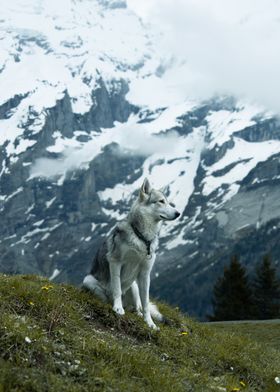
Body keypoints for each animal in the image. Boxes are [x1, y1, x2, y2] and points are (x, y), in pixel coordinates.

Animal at [82, 179, 179, 330]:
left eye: (168, 202)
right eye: (161, 201)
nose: (178, 213)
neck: (141, 238)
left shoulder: (145, 273)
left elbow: (145, 304)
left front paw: (150, 323)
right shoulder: (115, 261)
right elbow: (116, 287)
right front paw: (117, 308)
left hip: (134, 287)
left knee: (137, 307)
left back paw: (137, 313)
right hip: (88, 280)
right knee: (107, 297)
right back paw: (112, 304)